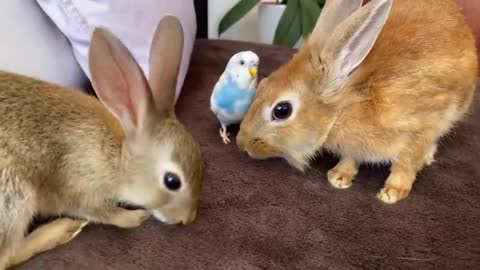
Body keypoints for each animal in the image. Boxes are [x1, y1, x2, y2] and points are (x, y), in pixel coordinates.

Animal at [0, 15, 203, 268]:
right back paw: (61, 229)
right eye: (172, 181)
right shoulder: (78, 188)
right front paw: (135, 217)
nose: (187, 218)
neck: (118, 157)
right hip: (13, 197)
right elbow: (101, 212)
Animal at [236, 0, 476, 204]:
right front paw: (339, 176)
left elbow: (405, 164)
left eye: (282, 110)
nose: (242, 144)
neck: (343, 109)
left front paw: (392, 192)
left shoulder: (419, 129)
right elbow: (351, 157)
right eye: (262, 84)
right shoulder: (353, 147)